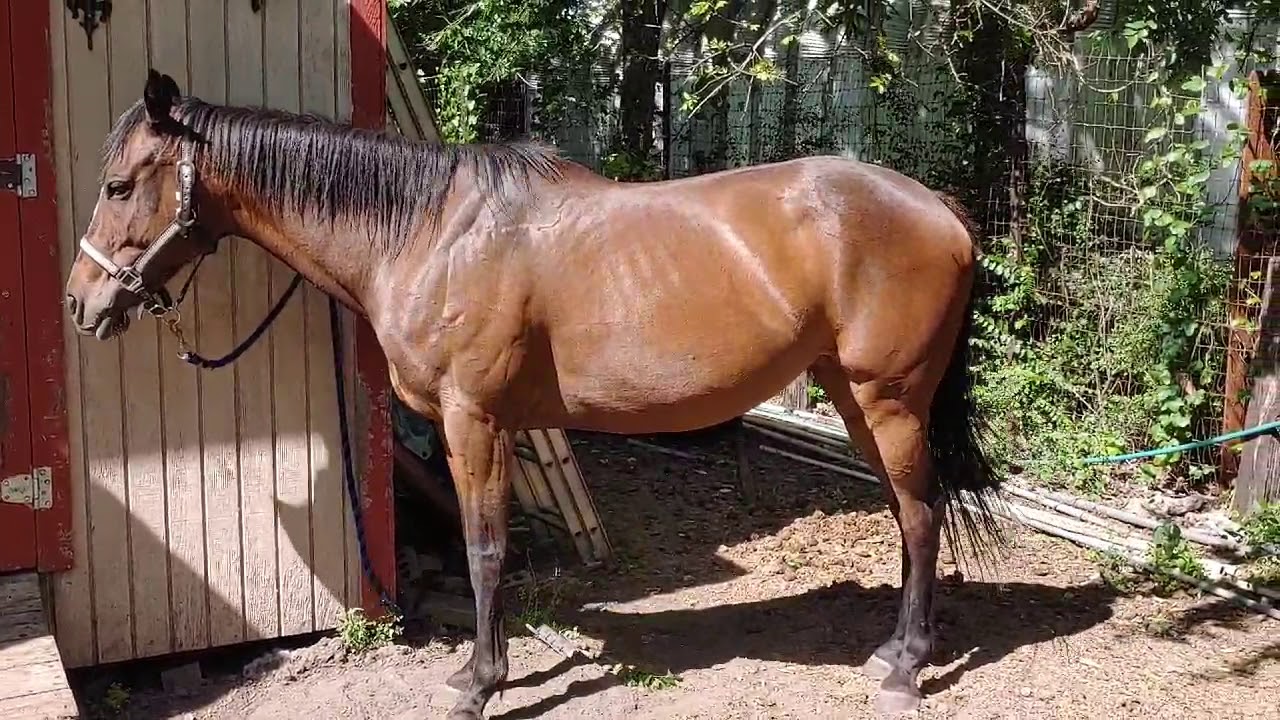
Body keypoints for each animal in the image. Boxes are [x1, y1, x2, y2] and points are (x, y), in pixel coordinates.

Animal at [64, 69, 1005, 719]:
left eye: (119, 187)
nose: (81, 303)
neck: (429, 233)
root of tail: (942, 211)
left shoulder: (472, 420)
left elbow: (484, 550)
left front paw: (479, 683)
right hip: (853, 395)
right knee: (907, 516)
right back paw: (892, 648)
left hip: (887, 401)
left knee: (922, 516)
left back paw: (906, 668)